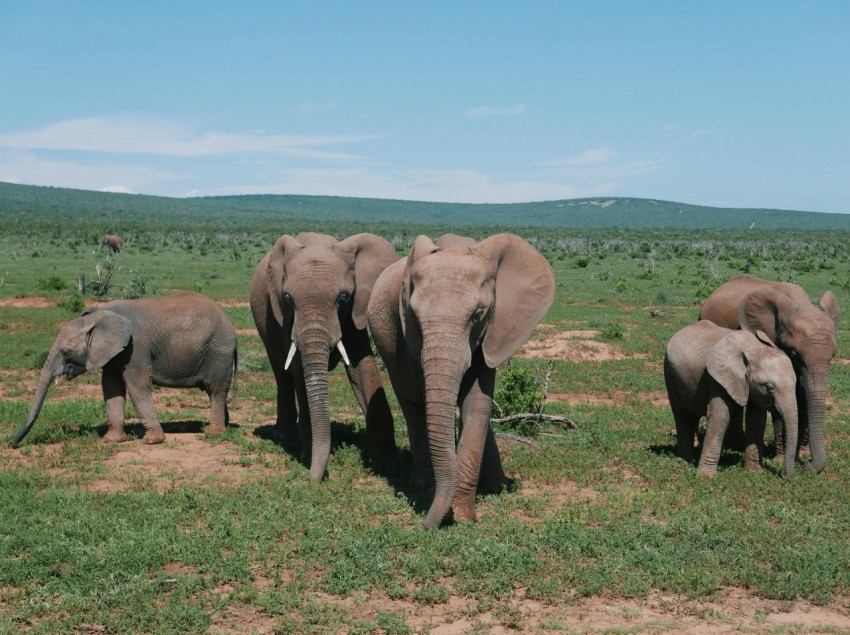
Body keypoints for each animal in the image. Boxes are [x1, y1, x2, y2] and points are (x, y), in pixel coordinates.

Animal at [11, 292, 237, 448]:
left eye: (66, 352)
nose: (12, 444)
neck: (97, 318)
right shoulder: (114, 354)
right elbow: (111, 388)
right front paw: (112, 440)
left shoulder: (135, 350)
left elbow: (137, 387)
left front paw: (152, 441)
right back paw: (221, 426)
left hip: (218, 352)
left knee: (215, 390)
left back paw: (213, 432)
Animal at [249, 232, 399, 481]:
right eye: (288, 298)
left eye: (343, 297)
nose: (311, 478)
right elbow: (300, 372)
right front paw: (309, 457)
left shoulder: (354, 311)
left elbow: (362, 366)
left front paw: (387, 462)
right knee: (281, 373)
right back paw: (283, 435)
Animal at [367, 233, 555, 528]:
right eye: (413, 316)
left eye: (478, 314)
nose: (424, 527)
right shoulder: (411, 342)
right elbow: (428, 397)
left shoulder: (493, 330)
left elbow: (477, 403)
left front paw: (465, 516)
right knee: (411, 403)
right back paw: (422, 484)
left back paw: (496, 485)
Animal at [664, 321, 799, 477]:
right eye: (770, 387)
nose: (784, 475)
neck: (754, 348)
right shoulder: (717, 377)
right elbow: (721, 416)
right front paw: (706, 476)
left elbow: (757, 419)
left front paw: (755, 472)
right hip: (669, 372)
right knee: (681, 414)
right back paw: (684, 459)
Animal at [699, 274, 839, 472]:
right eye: (794, 354)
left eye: (833, 355)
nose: (808, 465)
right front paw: (781, 460)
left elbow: (803, 398)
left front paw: (801, 456)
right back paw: (735, 443)